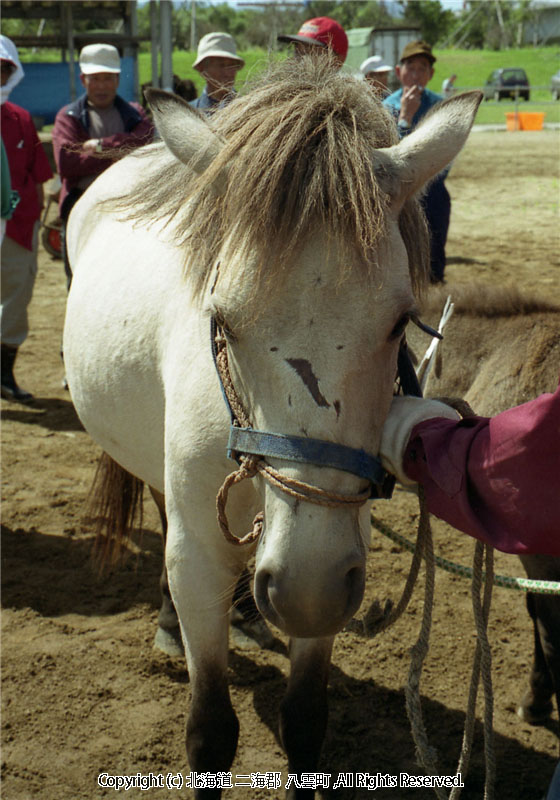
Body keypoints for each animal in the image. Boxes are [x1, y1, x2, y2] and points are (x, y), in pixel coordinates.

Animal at [62, 59, 482, 796]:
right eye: (222, 320)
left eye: (400, 321)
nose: (301, 594)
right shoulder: (207, 558)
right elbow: (210, 733)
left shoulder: (334, 557)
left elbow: (306, 719)